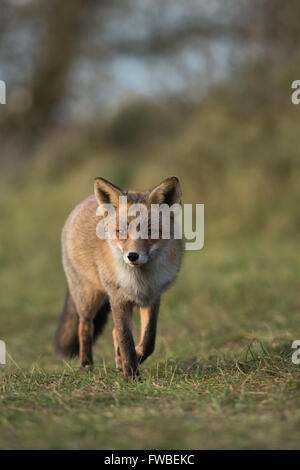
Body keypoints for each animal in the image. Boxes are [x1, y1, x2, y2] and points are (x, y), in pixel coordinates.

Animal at [53, 176, 183, 378]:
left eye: (150, 232)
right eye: (121, 232)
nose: (132, 256)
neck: (138, 281)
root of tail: (85, 201)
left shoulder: (152, 298)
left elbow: (148, 340)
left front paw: (134, 360)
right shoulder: (118, 298)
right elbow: (125, 339)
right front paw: (131, 374)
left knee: (112, 332)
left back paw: (117, 363)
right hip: (88, 297)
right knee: (84, 327)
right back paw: (86, 365)